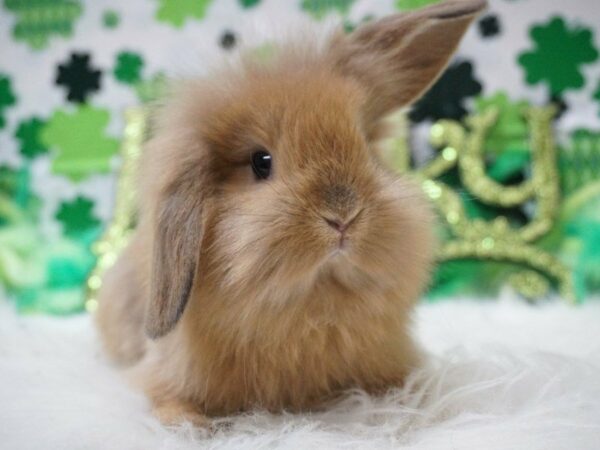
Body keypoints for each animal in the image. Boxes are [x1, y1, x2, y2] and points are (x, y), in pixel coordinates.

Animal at [95, 0, 488, 426]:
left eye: (366, 147)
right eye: (261, 162)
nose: (343, 216)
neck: (313, 305)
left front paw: (424, 412)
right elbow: (170, 403)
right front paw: (191, 427)